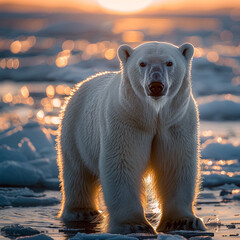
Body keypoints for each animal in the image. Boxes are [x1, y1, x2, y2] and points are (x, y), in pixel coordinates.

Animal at [56, 41, 206, 234]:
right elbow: (122, 164)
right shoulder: (125, 120)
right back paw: (82, 212)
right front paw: (133, 225)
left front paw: (183, 222)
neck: (153, 115)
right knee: (76, 170)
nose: (155, 85)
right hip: (74, 128)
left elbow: (175, 164)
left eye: (169, 63)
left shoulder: (176, 123)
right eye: (142, 63)